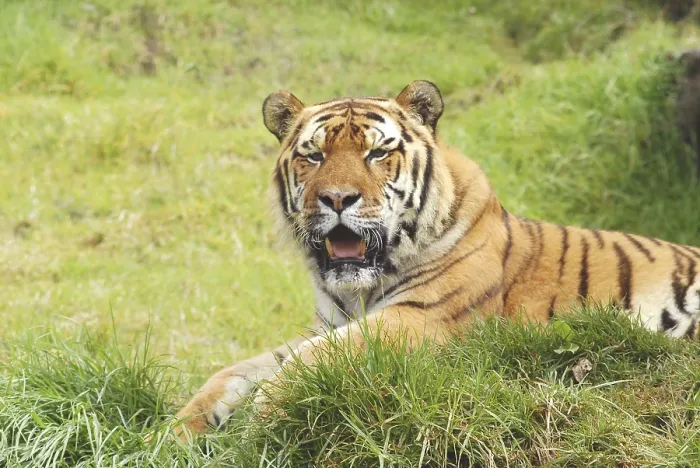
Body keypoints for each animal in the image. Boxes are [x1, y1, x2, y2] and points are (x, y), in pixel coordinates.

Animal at [174, 80, 700, 438]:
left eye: (376, 153)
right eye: (314, 156)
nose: (337, 198)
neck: (357, 290)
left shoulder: (422, 317)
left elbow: (312, 361)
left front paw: (263, 415)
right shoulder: (328, 324)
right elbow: (239, 369)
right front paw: (179, 430)